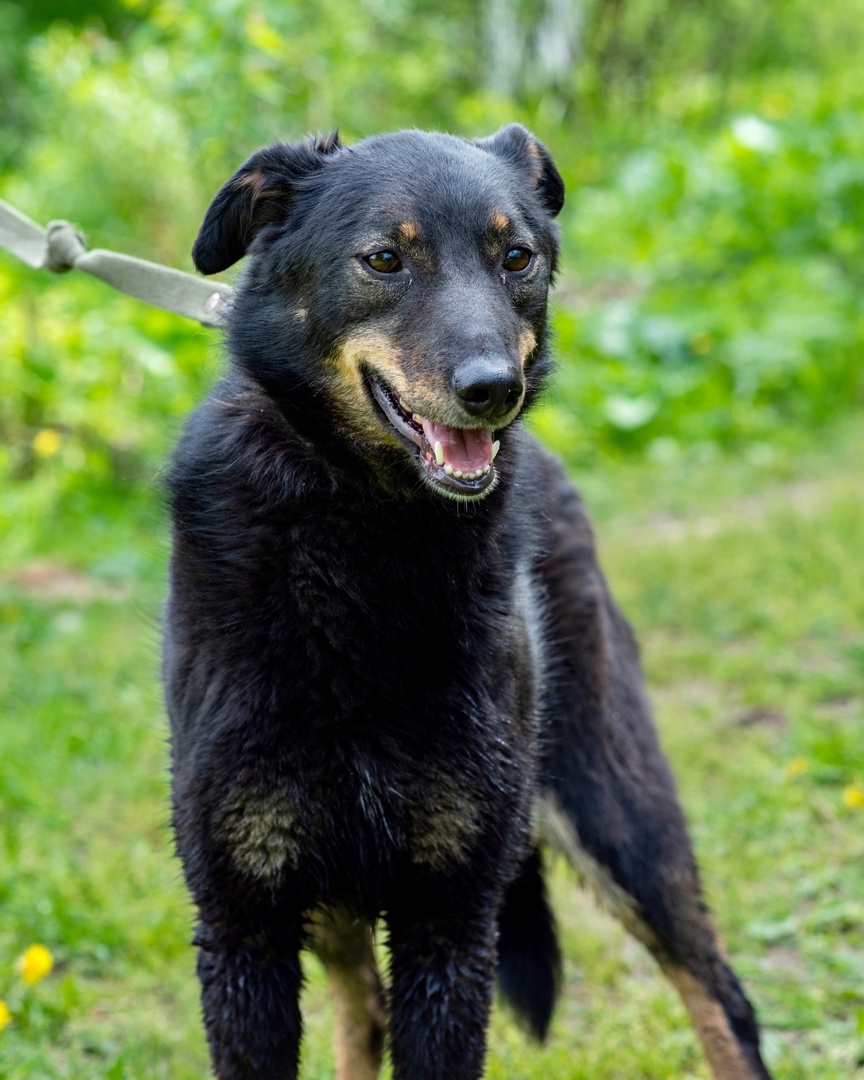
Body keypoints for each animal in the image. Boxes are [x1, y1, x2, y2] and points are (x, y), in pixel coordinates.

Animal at [165, 122, 773, 1075]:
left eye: (516, 257)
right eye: (384, 258)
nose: (493, 392)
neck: (367, 537)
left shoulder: (451, 922)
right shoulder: (244, 922)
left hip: (614, 806)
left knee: (721, 995)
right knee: (362, 1010)